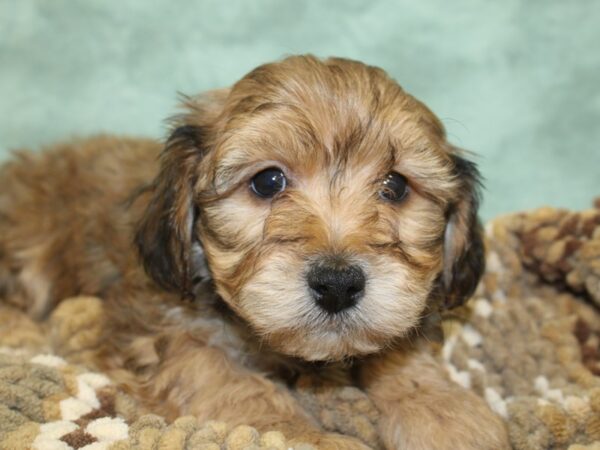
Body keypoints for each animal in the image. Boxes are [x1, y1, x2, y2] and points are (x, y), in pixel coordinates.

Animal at [0, 54, 508, 448]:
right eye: (268, 181)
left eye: (395, 186)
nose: (338, 284)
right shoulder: (164, 333)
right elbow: (232, 385)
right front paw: (313, 437)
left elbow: (398, 351)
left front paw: (444, 411)